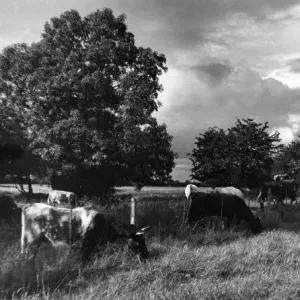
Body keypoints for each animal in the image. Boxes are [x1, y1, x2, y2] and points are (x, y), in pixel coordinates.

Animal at [19, 203, 149, 266]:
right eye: (139, 243)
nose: (147, 257)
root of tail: (29, 205)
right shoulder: (86, 244)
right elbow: (84, 261)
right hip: (31, 240)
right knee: (28, 258)